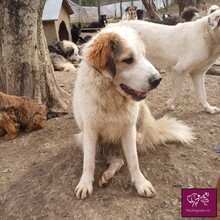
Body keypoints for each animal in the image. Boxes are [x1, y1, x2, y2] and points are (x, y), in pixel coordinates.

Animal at [72, 24, 192, 199]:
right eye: (128, 60)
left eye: (144, 55)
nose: (157, 80)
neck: (112, 98)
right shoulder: (89, 131)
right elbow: (88, 162)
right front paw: (85, 183)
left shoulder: (128, 129)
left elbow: (134, 161)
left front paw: (141, 183)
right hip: (90, 141)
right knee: (117, 160)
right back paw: (107, 175)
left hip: (141, 111)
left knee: (131, 148)